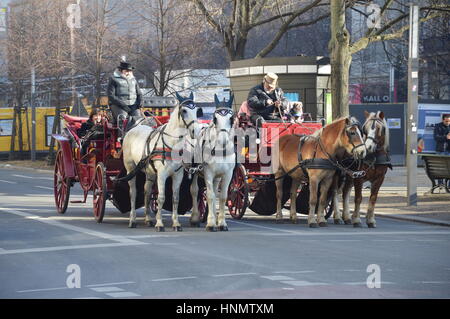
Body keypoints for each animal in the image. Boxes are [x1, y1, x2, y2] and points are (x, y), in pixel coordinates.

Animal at [121, 92, 202, 230]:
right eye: (184, 111)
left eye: (197, 110)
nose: (195, 131)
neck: (172, 144)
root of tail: (132, 130)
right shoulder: (162, 175)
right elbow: (161, 198)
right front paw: (159, 223)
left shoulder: (178, 175)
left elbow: (175, 198)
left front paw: (176, 223)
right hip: (130, 168)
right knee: (133, 193)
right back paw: (133, 220)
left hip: (149, 172)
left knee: (147, 191)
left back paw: (148, 218)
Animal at [188, 95, 236, 232]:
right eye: (215, 118)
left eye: (231, 118)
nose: (223, 140)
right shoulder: (208, 172)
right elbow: (210, 196)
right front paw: (210, 223)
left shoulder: (227, 174)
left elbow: (223, 197)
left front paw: (221, 223)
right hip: (195, 172)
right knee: (195, 191)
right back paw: (195, 218)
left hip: (216, 177)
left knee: (214, 191)